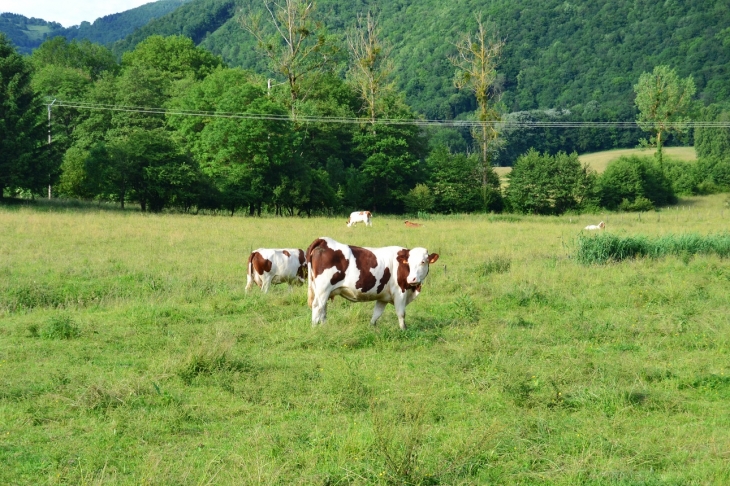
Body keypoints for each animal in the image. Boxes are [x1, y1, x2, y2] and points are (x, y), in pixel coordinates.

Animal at [302, 236, 436, 330]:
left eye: (423, 262)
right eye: (408, 263)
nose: (412, 279)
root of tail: (324, 240)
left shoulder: (383, 297)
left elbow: (376, 314)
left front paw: (371, 328)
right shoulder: (400, 292)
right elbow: (401, 314)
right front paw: (404, 331)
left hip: (323, 290)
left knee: (323, 308)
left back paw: (324, 327)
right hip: (323, 289)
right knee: (317, 306)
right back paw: (314, 328)